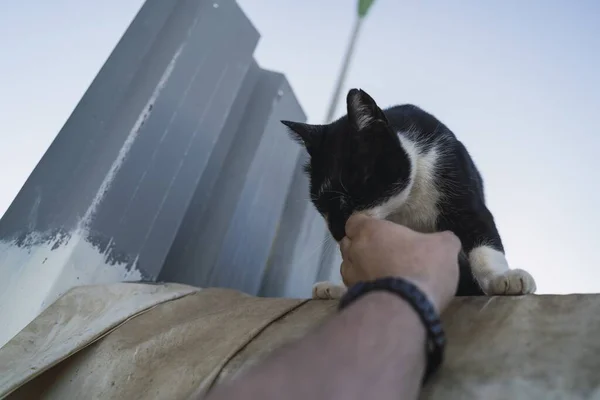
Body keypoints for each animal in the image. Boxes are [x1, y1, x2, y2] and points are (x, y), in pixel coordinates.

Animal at [284, 88, 536, 300]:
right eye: (319, 203)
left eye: (356, 190)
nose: (338, 232)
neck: (406, 204)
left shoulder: (459, 188)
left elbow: (483, 242)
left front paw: (503, 278)